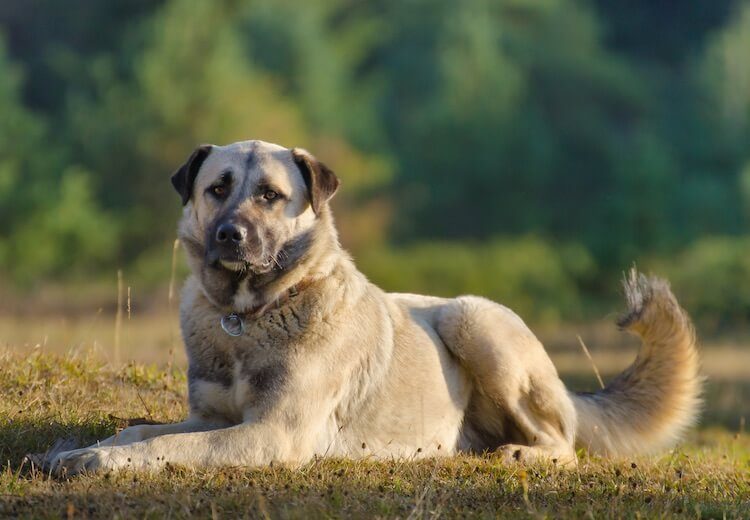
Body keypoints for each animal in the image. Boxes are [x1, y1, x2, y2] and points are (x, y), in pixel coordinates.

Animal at [53, 140, 704, 474]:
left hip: (473, 320)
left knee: (565, 443)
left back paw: (524, 452)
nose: (229, 236)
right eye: (217, 188)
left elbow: (166, 448)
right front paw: (78, 449)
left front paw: (99, 461)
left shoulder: (272, 434)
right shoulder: (215, 419)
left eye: (270, 195)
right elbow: (141, 430)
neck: (251, 315)